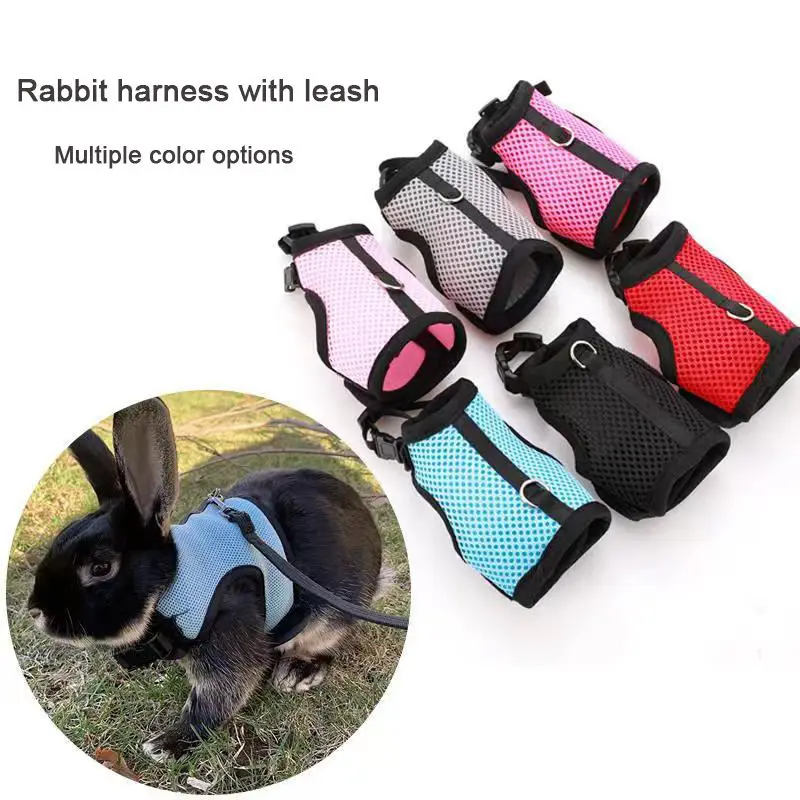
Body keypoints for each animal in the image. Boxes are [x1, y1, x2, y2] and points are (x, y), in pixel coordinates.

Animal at [27, 397, 389, 762]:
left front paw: (166, 745)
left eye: (101, 567)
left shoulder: (228, 631)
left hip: (330, 615)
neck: (171, 584)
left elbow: (217, 697)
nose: (35, 611)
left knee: (330, 643)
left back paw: (298, 672)